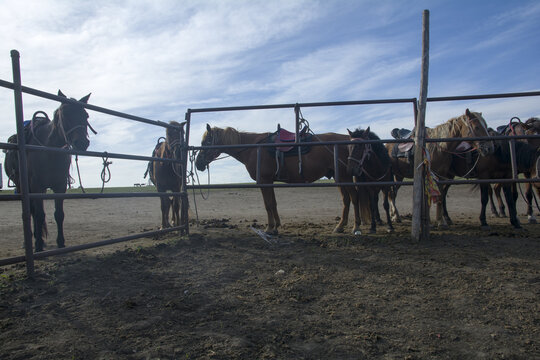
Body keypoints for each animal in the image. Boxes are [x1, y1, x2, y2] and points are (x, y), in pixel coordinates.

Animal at [3, 91, 94, 252]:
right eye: (65, 115)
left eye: (86, 115)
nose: (82, 143)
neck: (50, 150)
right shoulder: (37, 186)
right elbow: (39, 215)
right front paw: (38, 245)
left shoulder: (60, 186)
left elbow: (59, 214)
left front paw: (61, 242)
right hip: (22, 186)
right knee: (31, 212)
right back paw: (31, 241)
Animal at [194, 124, 372, 236]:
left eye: (206, 141)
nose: (198, 164)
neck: (253, 149)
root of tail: (348, 140)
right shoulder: (269, 182)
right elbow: (273, 203)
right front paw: (276, 226)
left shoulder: (264, 181)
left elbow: (268, 204)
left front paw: (269, 228)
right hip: (338, 176)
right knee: (346, 200)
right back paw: (340, 226)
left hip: (345, 176)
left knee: (354, 198)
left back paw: (356, 227)